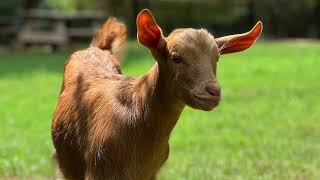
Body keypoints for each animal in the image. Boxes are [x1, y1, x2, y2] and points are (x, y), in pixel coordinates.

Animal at [52, 8, 262, 180]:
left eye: (217, 58)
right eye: (175, 57)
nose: (213, 91)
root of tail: (96, 48)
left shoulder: (150, 173)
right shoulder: (99, 171)